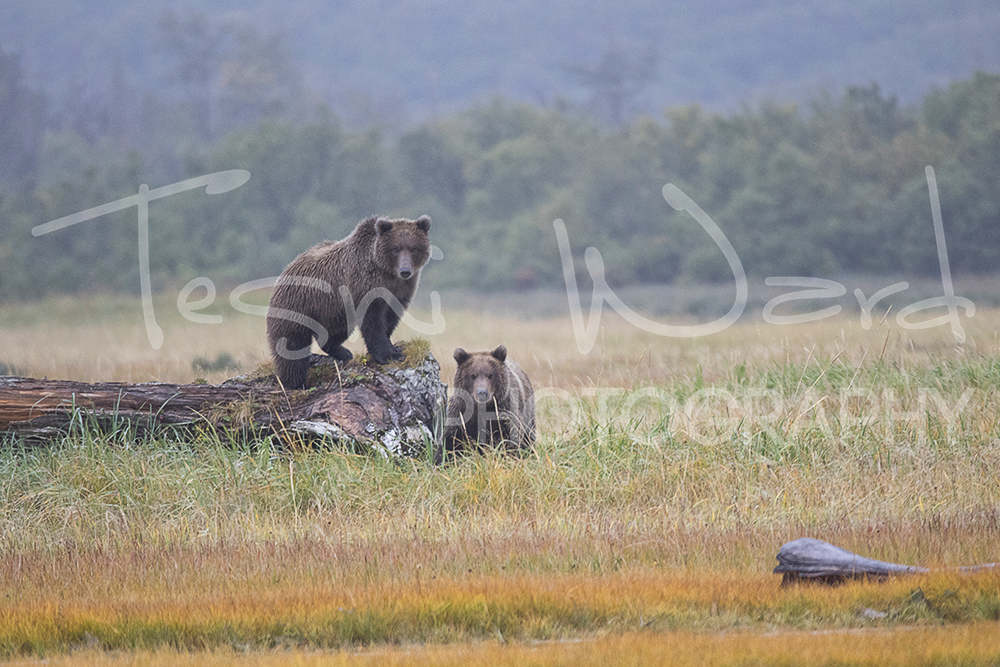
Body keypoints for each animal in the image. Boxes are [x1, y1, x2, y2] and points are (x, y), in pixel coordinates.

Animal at [266, 215, 431, 389]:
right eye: (396, 249)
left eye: (414, 248)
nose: (405, 271)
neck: (387, 273)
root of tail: (287, 269)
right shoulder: (365, 283)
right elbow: (372, 320)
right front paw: (388, 355)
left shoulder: (401, 289)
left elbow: (391, 317)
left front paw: (393, 346)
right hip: (297, 305)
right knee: (291, 347)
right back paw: (294, 382)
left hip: (333, 311)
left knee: (335, 331)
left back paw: (343, 352)